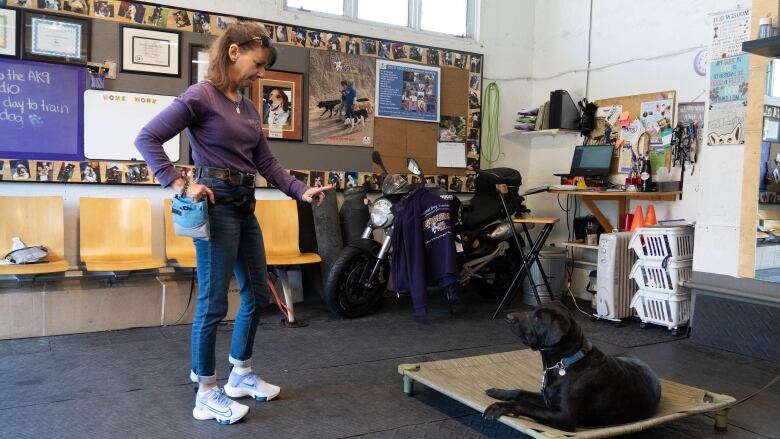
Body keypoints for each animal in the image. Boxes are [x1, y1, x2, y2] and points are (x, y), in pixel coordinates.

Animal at [484, 302, 660, 434]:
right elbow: (520, 392)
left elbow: (525, 405)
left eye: (537, 318)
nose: (508, 317)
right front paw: (498, 392)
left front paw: (500, 407)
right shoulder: (547, 399)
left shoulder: (564, 416)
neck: (564, 362)